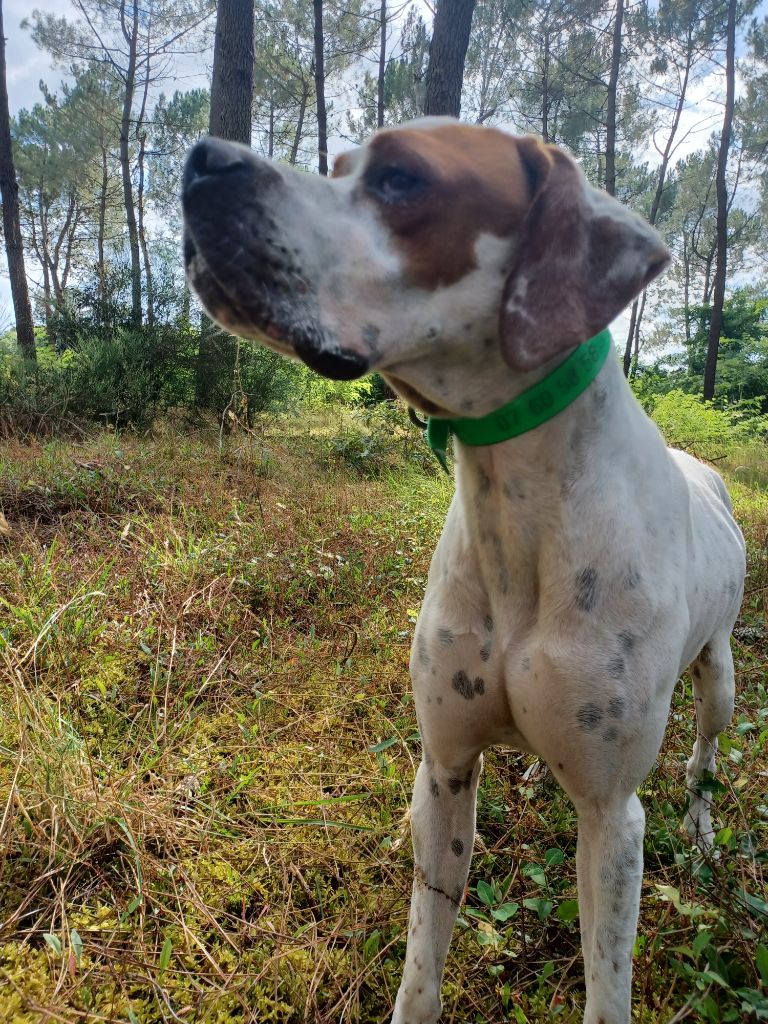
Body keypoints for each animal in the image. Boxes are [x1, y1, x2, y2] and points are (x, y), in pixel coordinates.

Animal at [180, 121, 745, 1024]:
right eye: (337, 167)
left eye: (402, 179)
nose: (202, 159)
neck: (519, 515)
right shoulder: (442, 771)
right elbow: (424, 952)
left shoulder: (612, 816)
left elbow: (606, 983)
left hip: (718, 675)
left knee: (703, 758)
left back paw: (700, 830)